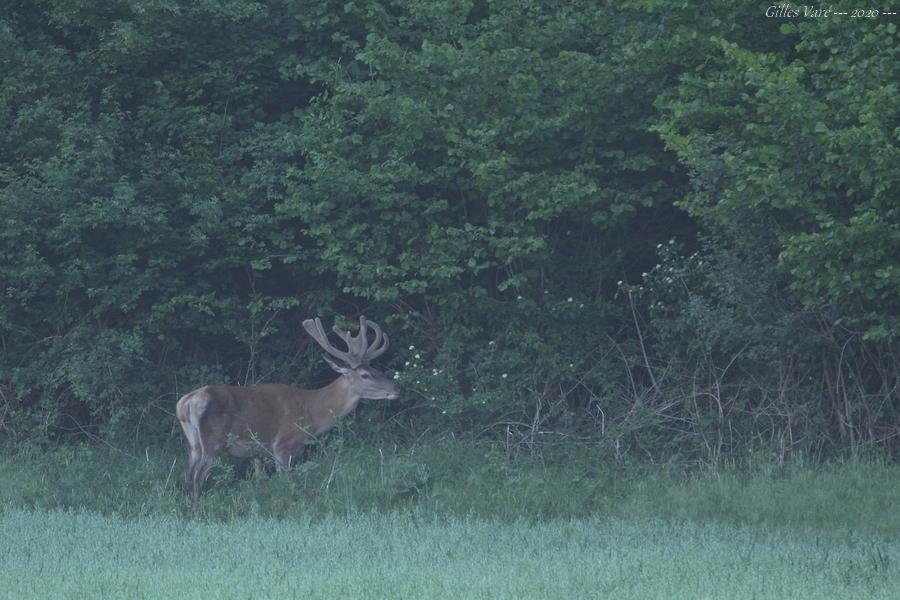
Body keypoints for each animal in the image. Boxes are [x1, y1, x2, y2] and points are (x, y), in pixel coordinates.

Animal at [175, 316, 398, 500]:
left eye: (375, 368)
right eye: (365, 375)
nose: (397, 388)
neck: (311, 413)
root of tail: (185, 403)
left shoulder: (262, 454)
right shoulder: (284, 445)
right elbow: (287, 483)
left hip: (193, 444)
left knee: (189, 476)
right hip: (213, 443)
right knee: (197, 478)